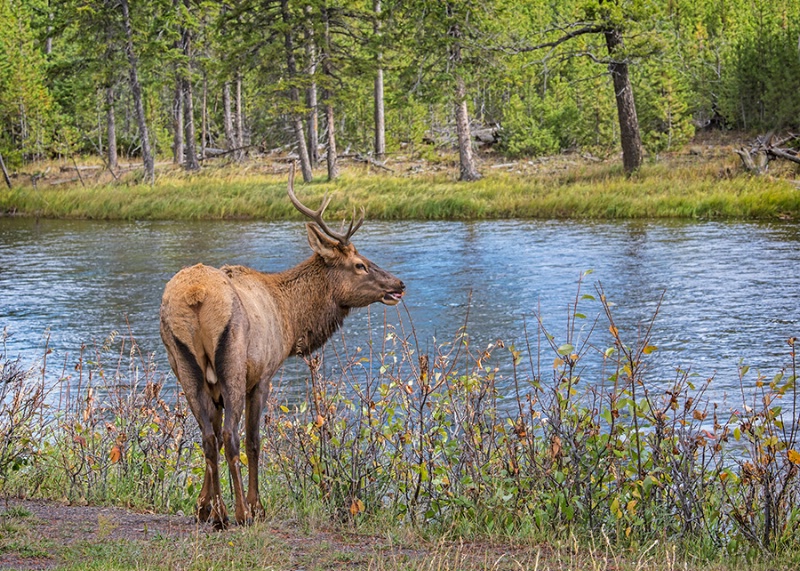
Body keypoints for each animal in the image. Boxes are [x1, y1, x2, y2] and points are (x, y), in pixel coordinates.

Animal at [159, 164, 404, 528]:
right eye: (359, 264)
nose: (399, 284)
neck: (290, 321)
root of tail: (195, 296)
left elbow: (211, 435)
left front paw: (202, 506)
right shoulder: (263, 375)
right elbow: (254, 441)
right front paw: (256, 506)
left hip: (185, 366)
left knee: (208, 436)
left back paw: (219, 513)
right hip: (233, 364)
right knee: (231, 436)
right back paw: (240, 513)